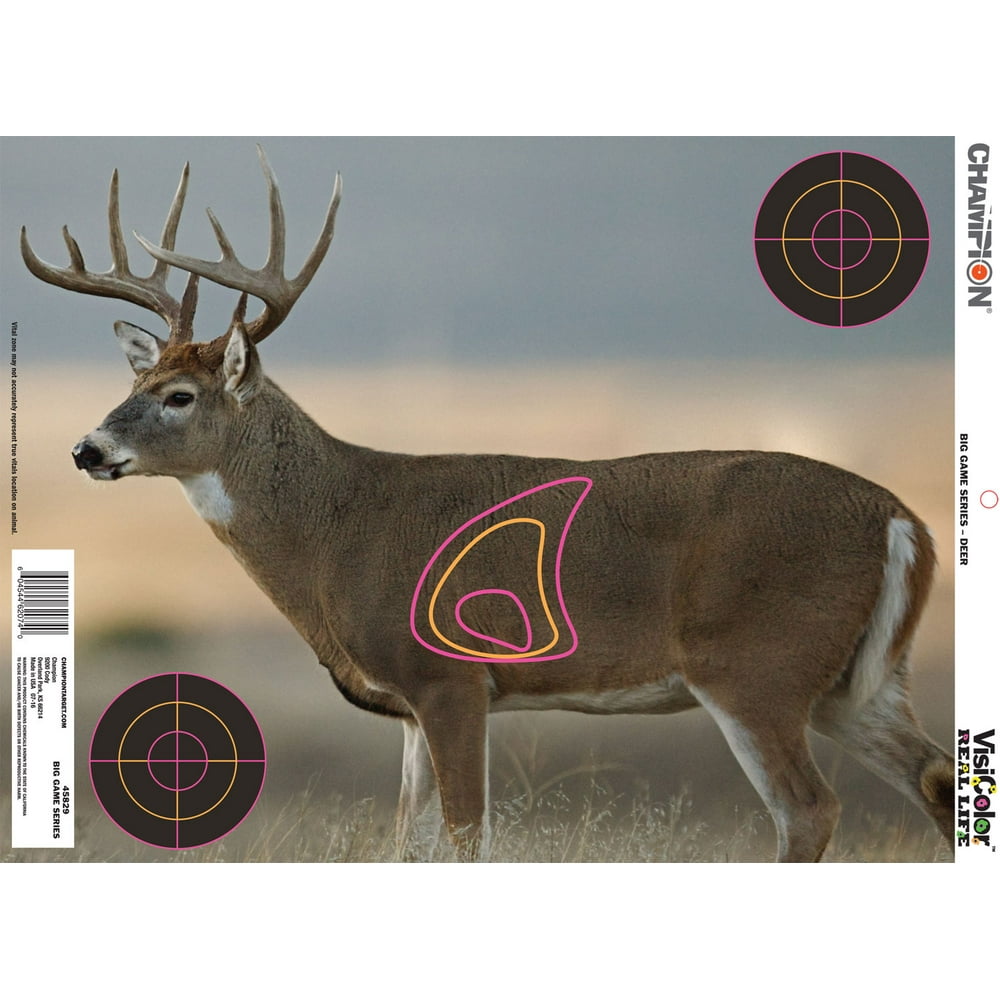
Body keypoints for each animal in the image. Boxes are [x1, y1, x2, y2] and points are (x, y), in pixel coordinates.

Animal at [21, 147, 954, 862]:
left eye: (178, 396)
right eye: (133, 382)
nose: (86, 450)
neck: (337, 531)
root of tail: (902, 520)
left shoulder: (451, 675)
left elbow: (468, 837)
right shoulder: (407, 706)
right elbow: (409, 843)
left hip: (756, 664)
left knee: (810, 809)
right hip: (856, 682)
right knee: (938, 779)